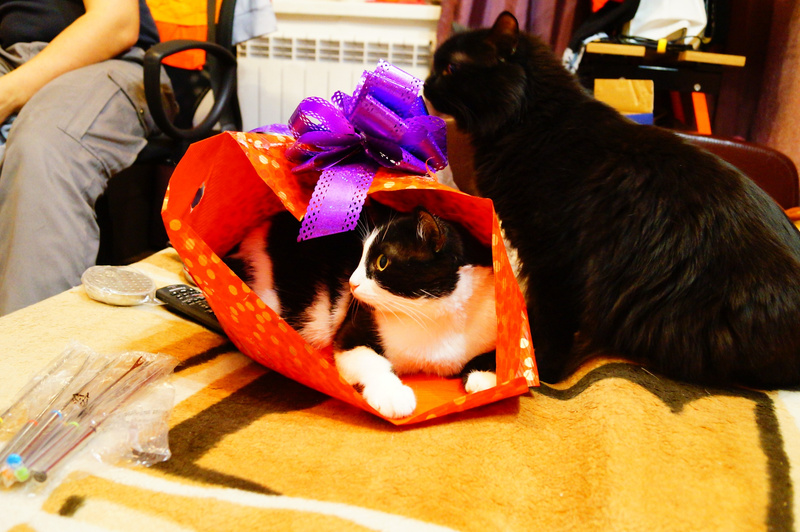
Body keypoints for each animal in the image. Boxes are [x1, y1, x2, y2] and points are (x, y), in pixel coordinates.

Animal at [223, 204, 498, 418]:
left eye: (382, 262)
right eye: (359, 255)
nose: (351, 283)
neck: (432, 318)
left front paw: (485, 377)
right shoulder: (354, 329)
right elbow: (370, 360)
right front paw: (392, 395)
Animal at [423, 11, 800, 389]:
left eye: (450, 69)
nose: (425, 85)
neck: (532, 122)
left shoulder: (554, 258)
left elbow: (547, 321)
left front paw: (539, 369)